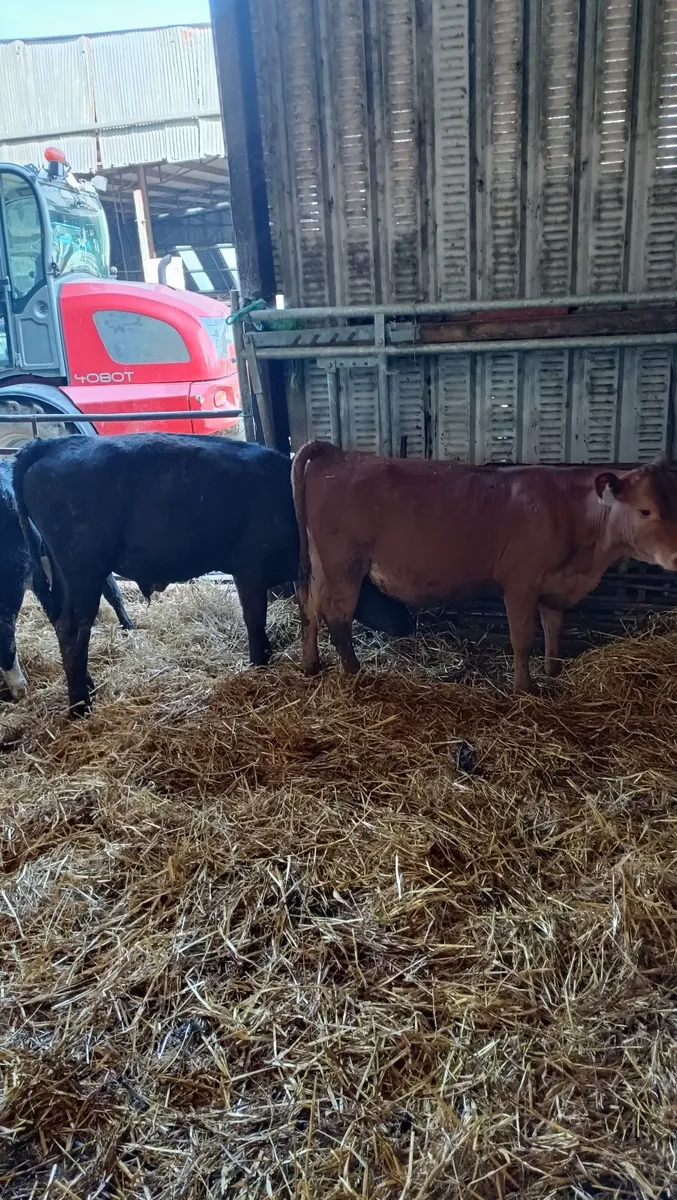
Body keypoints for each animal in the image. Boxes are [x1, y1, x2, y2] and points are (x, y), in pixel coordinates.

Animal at [291, 439, 677, 693]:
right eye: (645, 510)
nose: (676, 555)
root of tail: (339, 454)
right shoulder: (520, 582)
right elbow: (523, 638)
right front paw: (525, 688)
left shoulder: (555, 585)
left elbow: (553, 628)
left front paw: (553, 670)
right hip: (345, 563)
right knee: (336, 615)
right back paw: (354, 671)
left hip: (321, 562)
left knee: (309, 606)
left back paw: (311, 665)